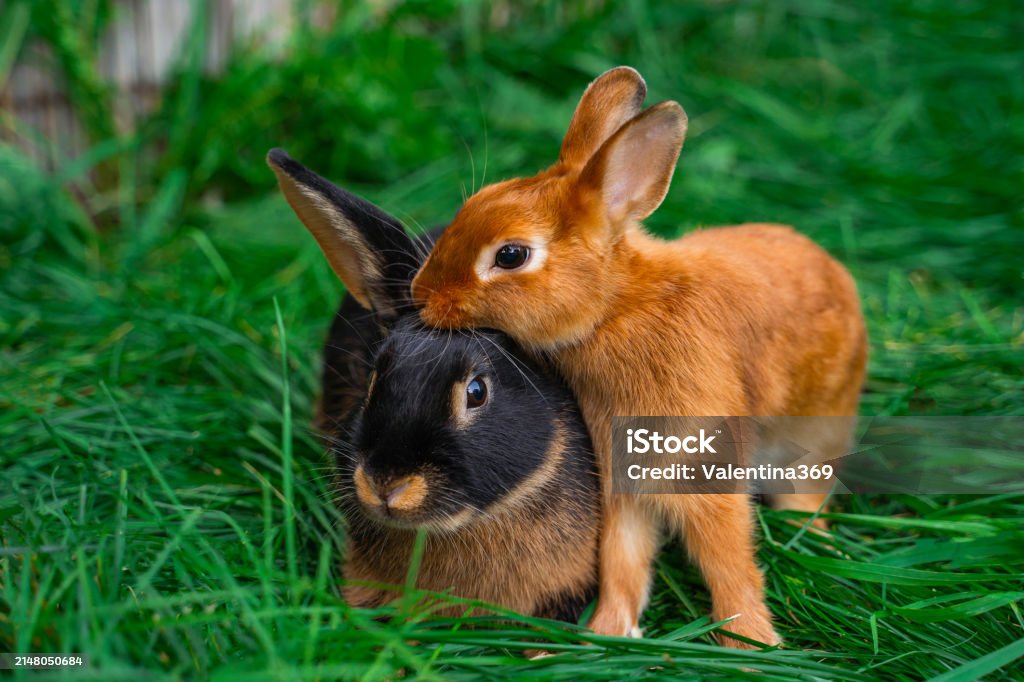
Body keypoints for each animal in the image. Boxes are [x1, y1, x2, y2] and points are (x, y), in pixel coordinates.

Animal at [410, 67, 868, 647]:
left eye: (511, 255)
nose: (420, 295)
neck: (615, 308)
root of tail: (836, 274)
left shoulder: (702, 465)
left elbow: (728, 562)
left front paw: (751, 645)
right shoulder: (623, 479)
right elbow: (622, 558)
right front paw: (607, 632)